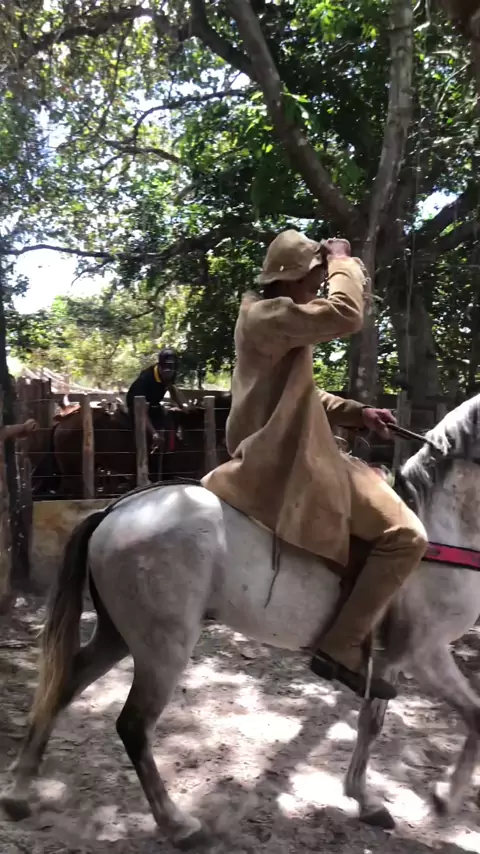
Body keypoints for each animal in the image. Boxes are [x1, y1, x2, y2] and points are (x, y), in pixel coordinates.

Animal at [4, 394, 480, 848]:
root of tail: (116, 511)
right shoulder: (425, 653)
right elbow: (474, 715)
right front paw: (443, 799)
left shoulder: (389, 662)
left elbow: (371, 724)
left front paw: (366, 800)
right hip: (163, 648)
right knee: (134, 726)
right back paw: (179, 825)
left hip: (118, 634)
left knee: (65, 684)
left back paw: (19, 791)